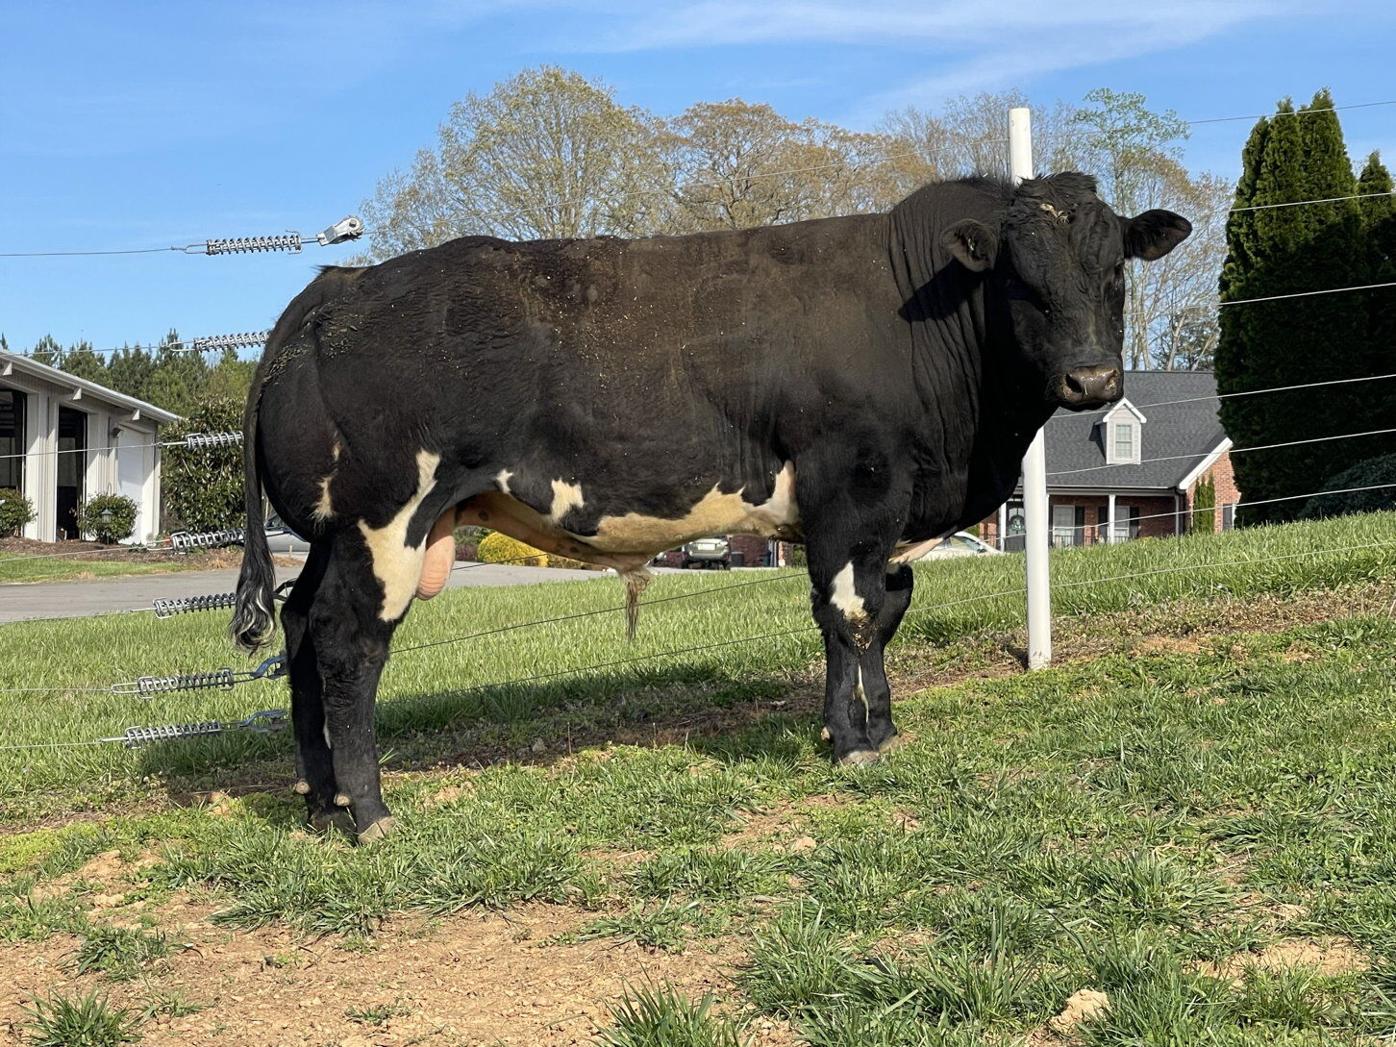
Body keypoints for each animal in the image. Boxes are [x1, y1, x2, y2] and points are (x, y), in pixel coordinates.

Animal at [232, 172, 1190, 842]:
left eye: (1114, 271)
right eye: (1022, 280)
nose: (1093, 378)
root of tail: (341, 286)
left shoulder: (890, 512)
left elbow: (886, 610)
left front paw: (882, 726)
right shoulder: (852, 484)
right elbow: (847, 614)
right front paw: (850, 741)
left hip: (334, 535)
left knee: (301, 626)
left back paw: (321, 797)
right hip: (386, 520)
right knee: (349, 646)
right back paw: (370, 809)